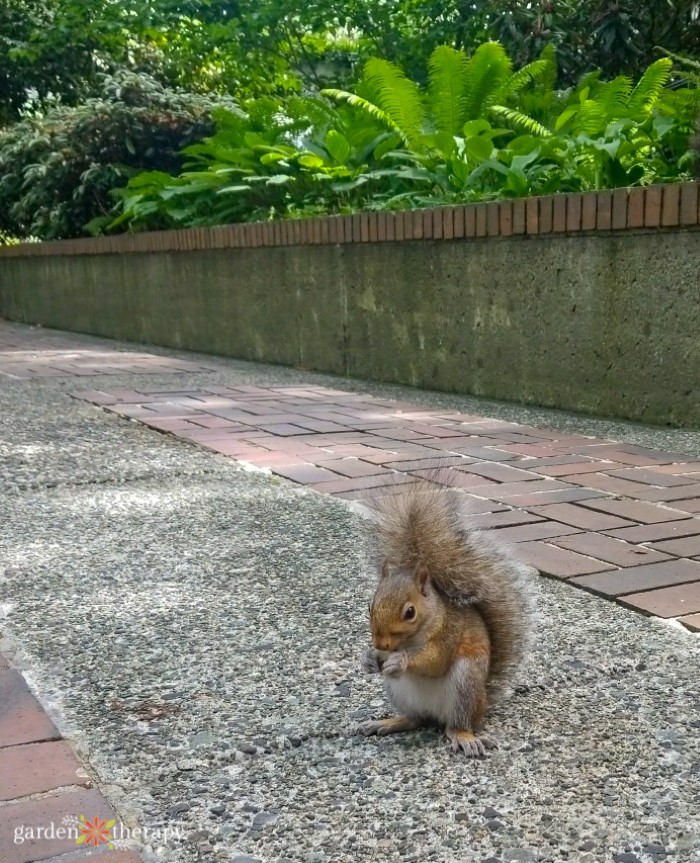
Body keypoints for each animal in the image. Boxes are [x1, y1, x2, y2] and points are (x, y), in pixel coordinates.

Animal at [358, 480, 540, 756]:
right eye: (370, 605)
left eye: (410, 612)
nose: (380, 644)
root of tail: (482, 704)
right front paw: (369, 659)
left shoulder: (448, 633)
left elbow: (436, 661)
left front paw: (401, 660)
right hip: (400, 693)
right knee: (415, 719)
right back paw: (389, 722)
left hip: (465, 684)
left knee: (455, 725)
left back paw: (465, 737)